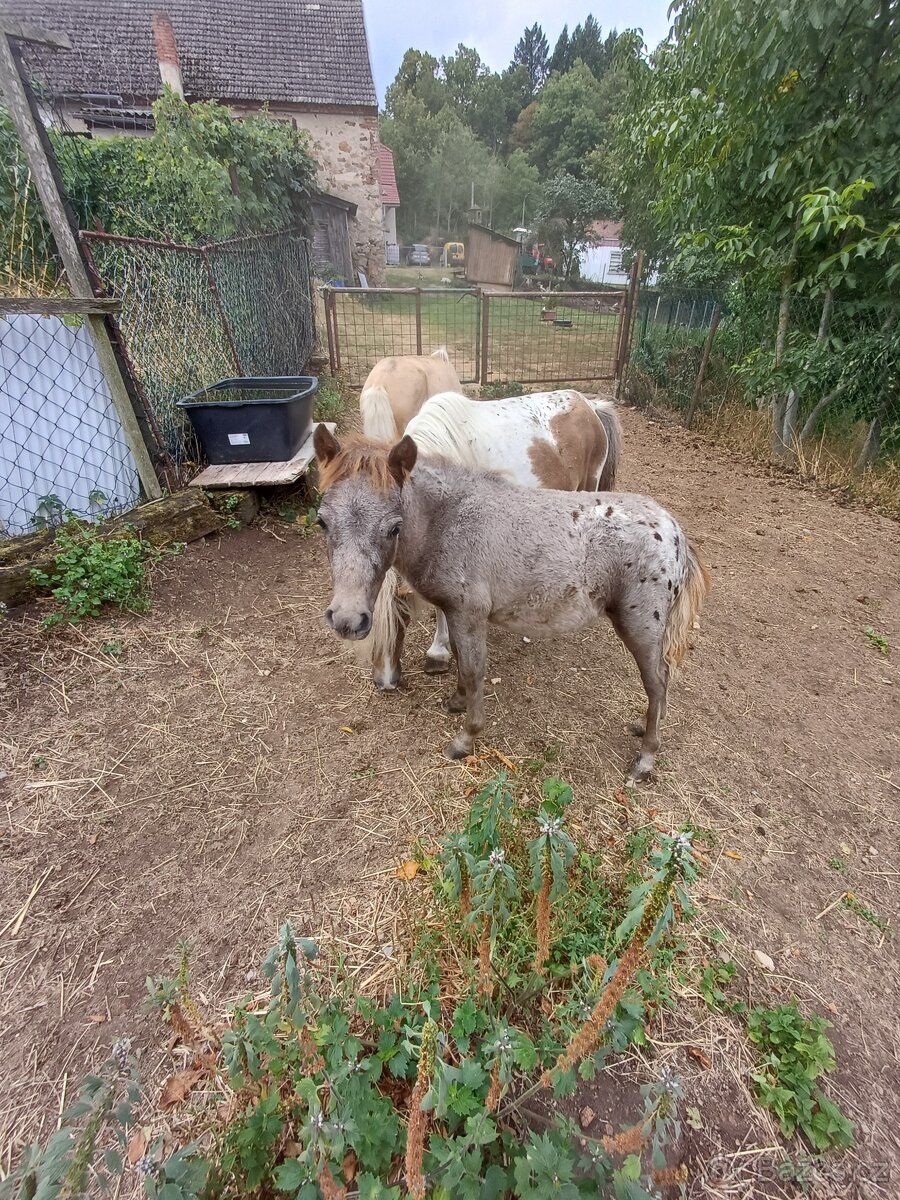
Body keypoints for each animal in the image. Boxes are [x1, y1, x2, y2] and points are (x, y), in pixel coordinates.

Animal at [313, 427, 710, 781]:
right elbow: (461, 663)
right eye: (322, 522)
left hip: (640, 626)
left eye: (394, 527)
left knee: (657, 683)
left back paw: (646, 758)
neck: (449, 521)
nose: (348, 620)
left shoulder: (470, 615)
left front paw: (465, 739)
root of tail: (674, 531)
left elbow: (475, 672)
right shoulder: (456, 615)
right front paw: (456, 702)